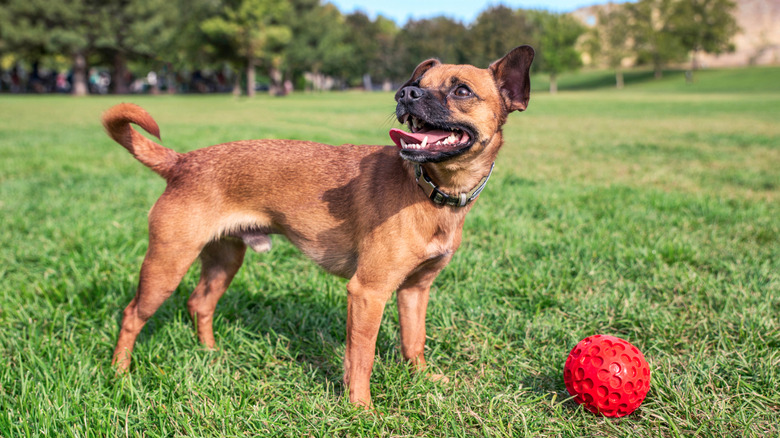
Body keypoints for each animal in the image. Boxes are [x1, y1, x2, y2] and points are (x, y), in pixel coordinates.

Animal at [102, 45, 532, 408]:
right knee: (131, 315)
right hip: (167, 265)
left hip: (224, 261)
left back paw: (210, 354)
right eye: (418, 84)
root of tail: (181, 162)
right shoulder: (368, 293)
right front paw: (361, 409)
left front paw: (422, 379)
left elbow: (414, 342)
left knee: (199, 304)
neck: (429, 190)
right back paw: (119, 374)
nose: (406, 93)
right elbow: (361, 358)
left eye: (461, 91)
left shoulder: (415, 291)